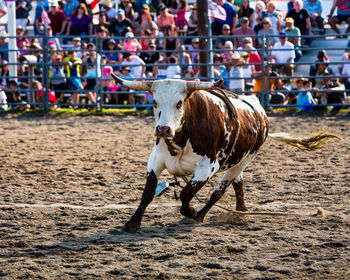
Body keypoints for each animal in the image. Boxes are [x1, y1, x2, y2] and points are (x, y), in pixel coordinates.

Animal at [111, 73, 340, 233]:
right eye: (154, 101)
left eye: (179, 102)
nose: (163, 130)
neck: (182, 138)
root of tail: (258, 108)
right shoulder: (155, 161)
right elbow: (148, 193)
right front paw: (132, 223)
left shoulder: (208, 167)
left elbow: (186, 194)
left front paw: (191, 212)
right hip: (237, 161)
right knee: (239, 183)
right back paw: (241, 209)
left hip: (245, 159)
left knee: (220, 190)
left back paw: (201, 215)